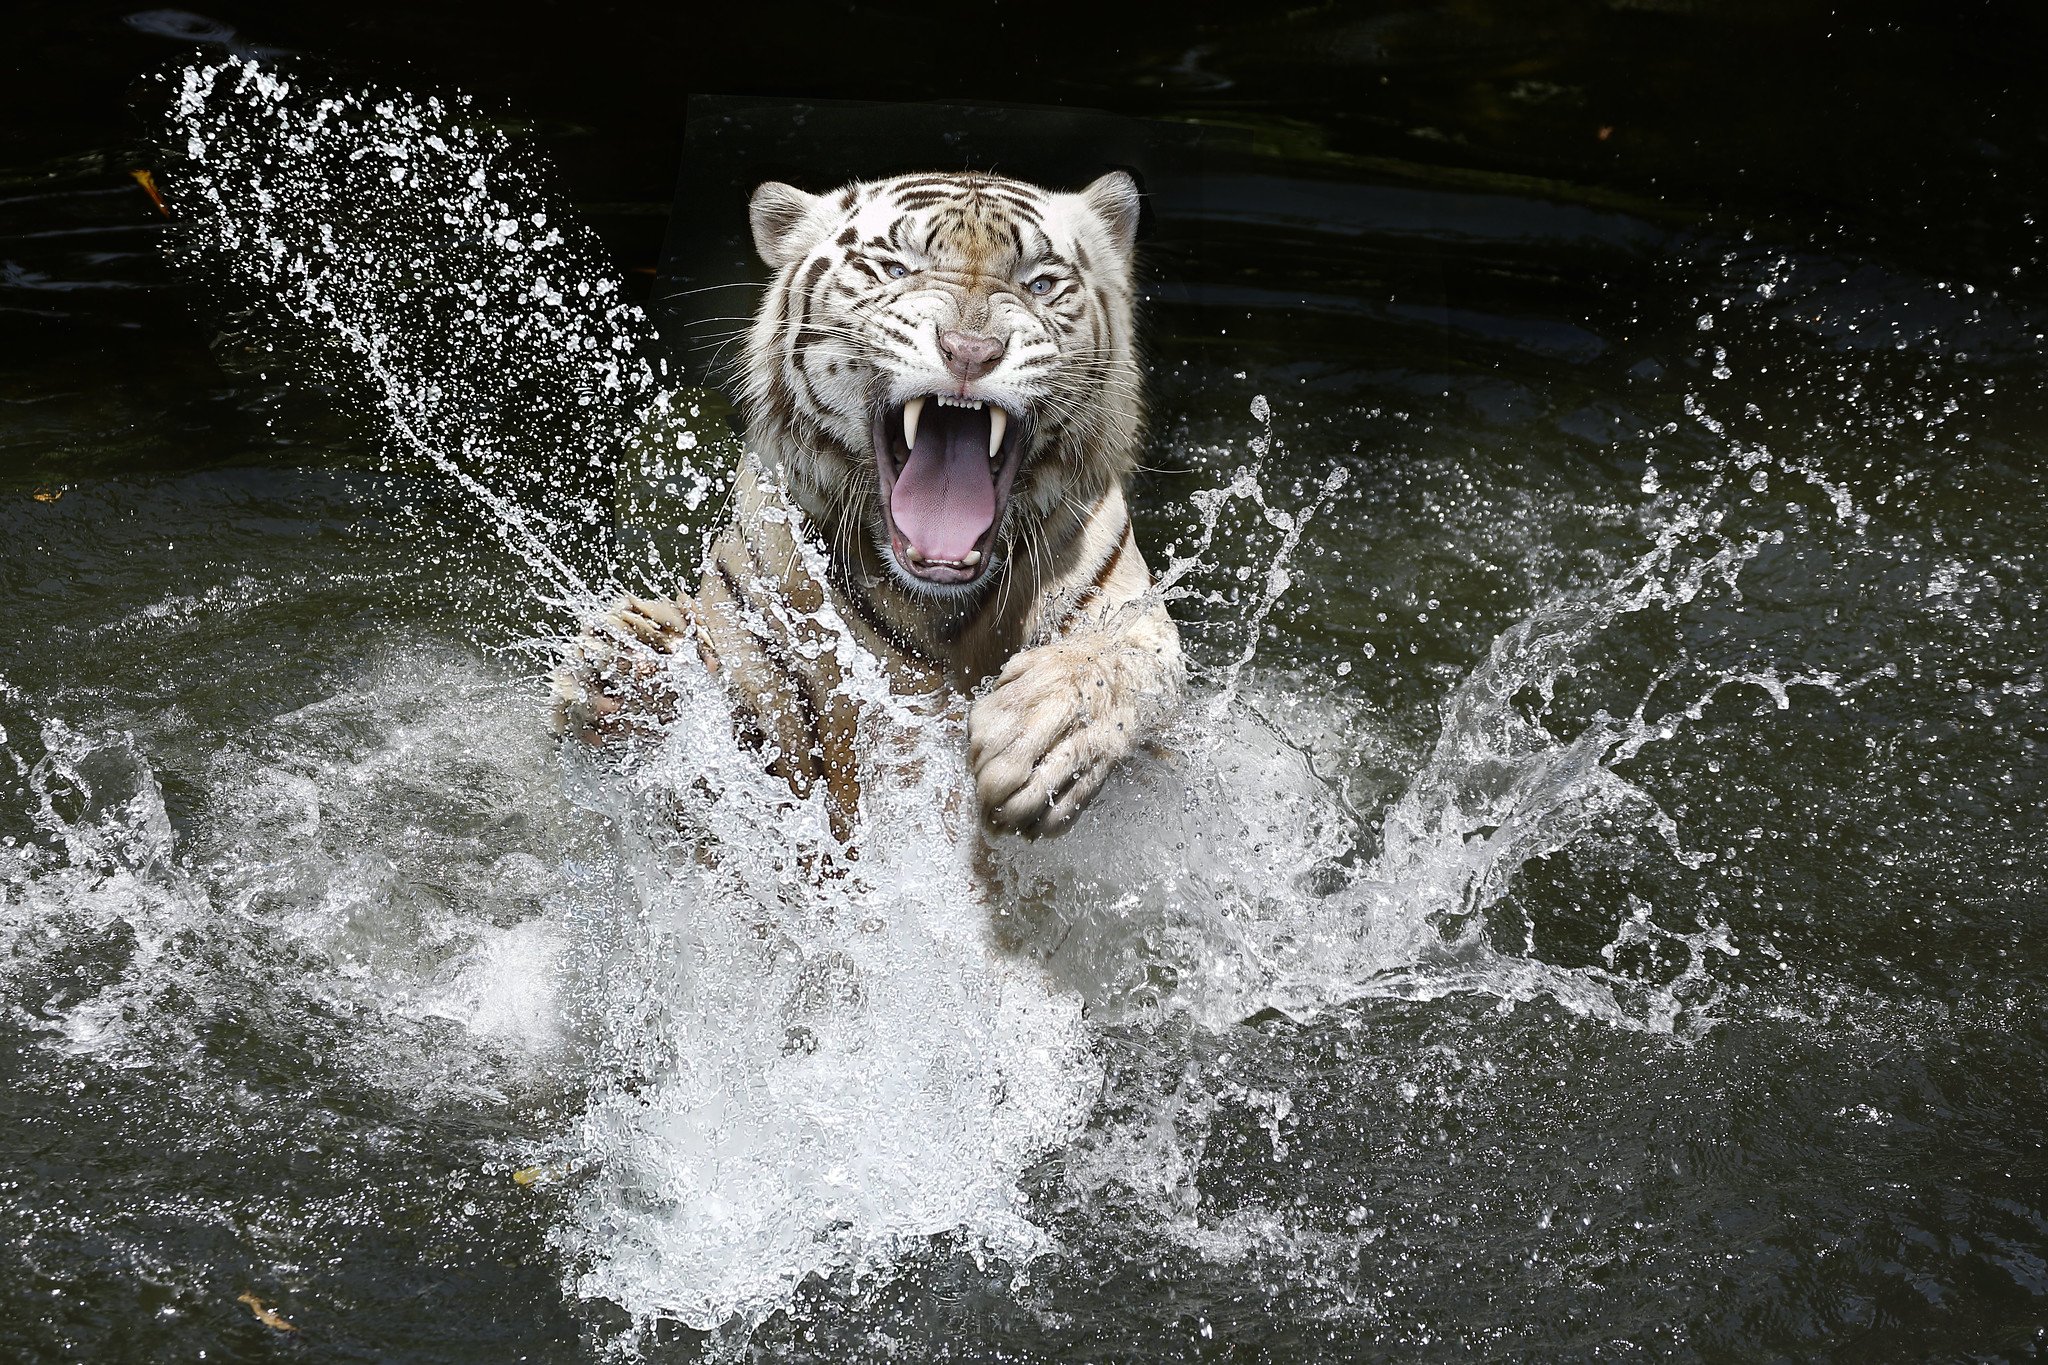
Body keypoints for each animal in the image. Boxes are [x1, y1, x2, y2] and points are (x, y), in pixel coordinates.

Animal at [552, 170, 1187, 843]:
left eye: (1039, 284)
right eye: (894, 269)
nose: (970, 349)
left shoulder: (1130, 610)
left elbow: (1119, 661)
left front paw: (1040, 738)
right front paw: (624, 674)